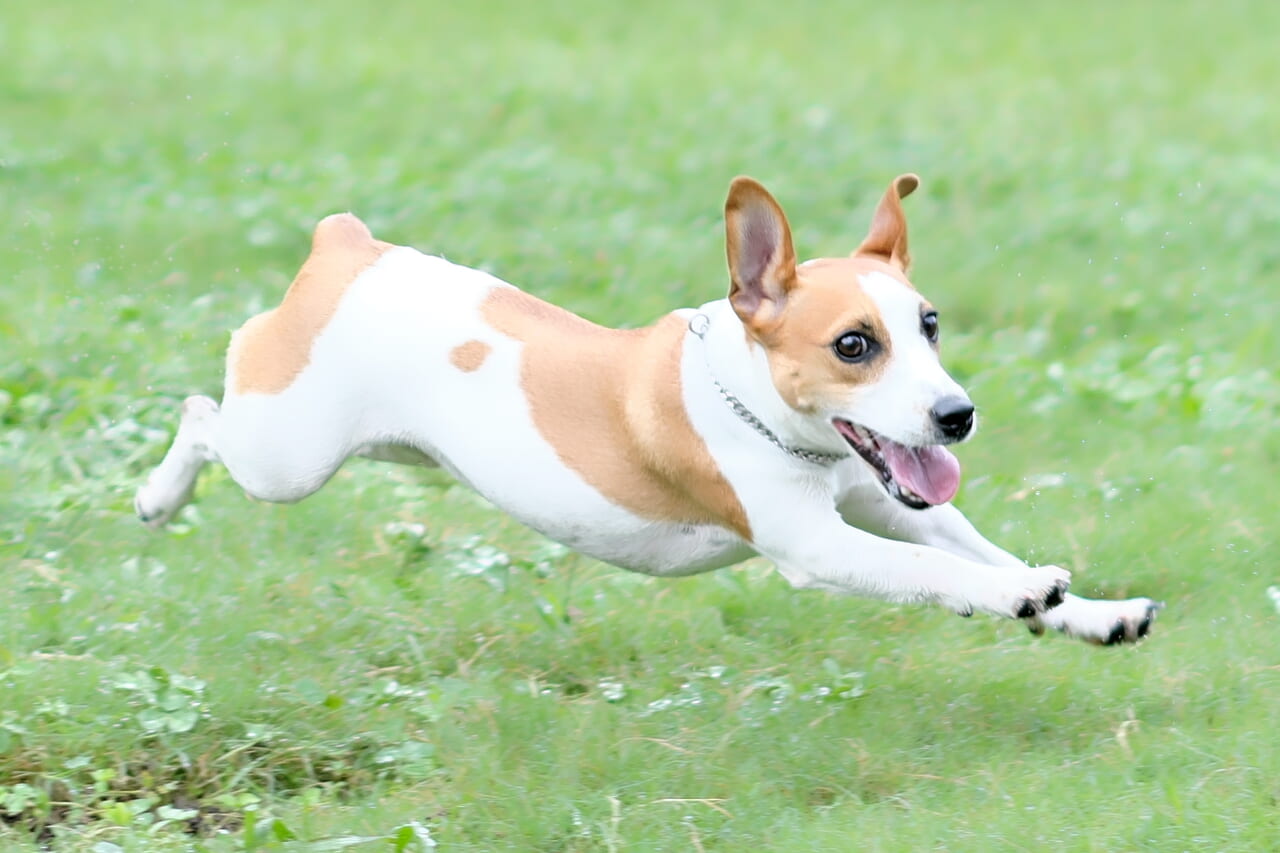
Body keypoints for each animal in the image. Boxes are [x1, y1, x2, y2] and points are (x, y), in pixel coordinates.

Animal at [137, 172, 1162, 640]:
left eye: (931, 324)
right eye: (853, 345)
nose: (957, 415)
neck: (753, 404)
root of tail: (347, 248)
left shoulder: (893, 501)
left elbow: (971, 546)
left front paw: (1091, 611)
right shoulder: (819, 546)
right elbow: (944, 573)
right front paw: (1017, 594)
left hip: (390, 447)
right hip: (285, 455)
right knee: (201, 408)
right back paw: (157, 495)